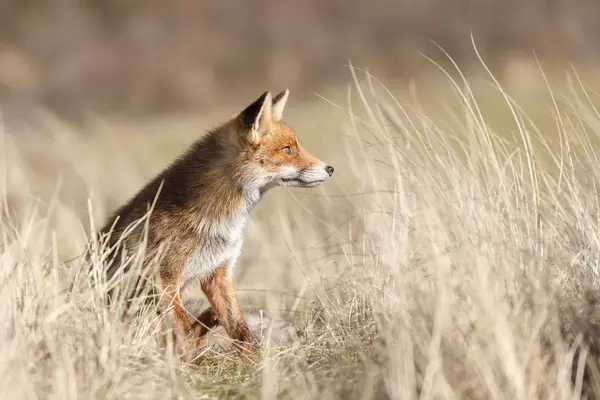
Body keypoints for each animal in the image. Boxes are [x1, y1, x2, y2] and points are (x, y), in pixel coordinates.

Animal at [96, 90, 336, 360]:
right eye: (288, 150)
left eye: (295, 147)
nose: (330, 168)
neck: (224, 220)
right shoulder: (162, 277)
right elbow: (184, 332)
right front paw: (187, 365)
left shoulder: (218, 272)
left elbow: (238, 327)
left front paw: (250, 360)